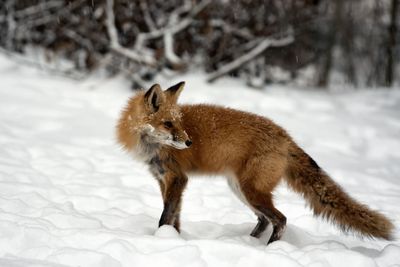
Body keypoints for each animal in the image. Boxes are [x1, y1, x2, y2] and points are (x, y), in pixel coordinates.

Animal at [116, 82, 394, 245]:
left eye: (180, 123)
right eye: (168, 124)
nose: (188, 142)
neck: (151, 148)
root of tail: (285, 136)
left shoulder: (178, 178)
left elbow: (165, 216)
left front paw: (159, 240)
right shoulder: (165, 180)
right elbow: (175, 217)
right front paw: (174, 239)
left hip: (251, 190)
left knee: (280, 219)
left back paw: (271, 249)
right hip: (241, 189)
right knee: (264, 221)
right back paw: (248, 244)